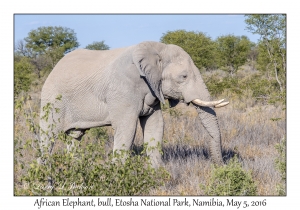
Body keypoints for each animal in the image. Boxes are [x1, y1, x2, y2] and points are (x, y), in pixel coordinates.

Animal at [39, 41, 227, 167]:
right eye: (184, 77)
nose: (220, 166)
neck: (157, 49)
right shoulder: (123, 89)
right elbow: (127, 128)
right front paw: (117, 176)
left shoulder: (153, 91)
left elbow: (156, 126)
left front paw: (157, 174)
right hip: (51, 99)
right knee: (47, 137)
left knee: (75, 137)